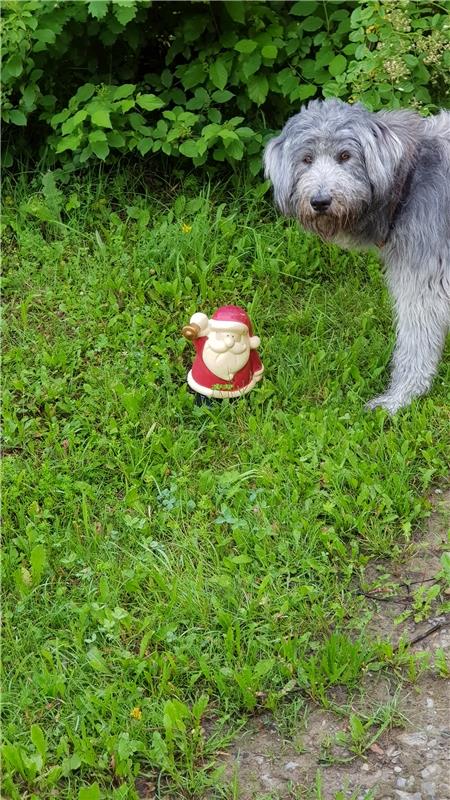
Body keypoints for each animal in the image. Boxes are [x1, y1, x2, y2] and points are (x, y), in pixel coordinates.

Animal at [264, 99, 450, 412]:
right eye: (307, 159)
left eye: (345, 156)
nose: (320, 201)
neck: (410, 178)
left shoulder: (424, 282)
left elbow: (416, 341)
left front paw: (400, 399)